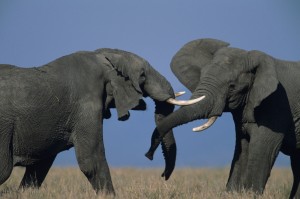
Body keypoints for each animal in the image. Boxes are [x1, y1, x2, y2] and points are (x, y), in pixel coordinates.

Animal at [0, 49, 199, 195]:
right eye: (142, 75)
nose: (149, 157)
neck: (104, 58)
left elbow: (40, 166)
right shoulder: (86, 104)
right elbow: (91, 159)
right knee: (4, 169)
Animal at [145, 38, 300, 198]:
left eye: (232, 87)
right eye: (201, 76)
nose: (149, 156)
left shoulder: (276, 105)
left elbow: (262, 149)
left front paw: (251, 194)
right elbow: (242, 148)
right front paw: (233, 194)